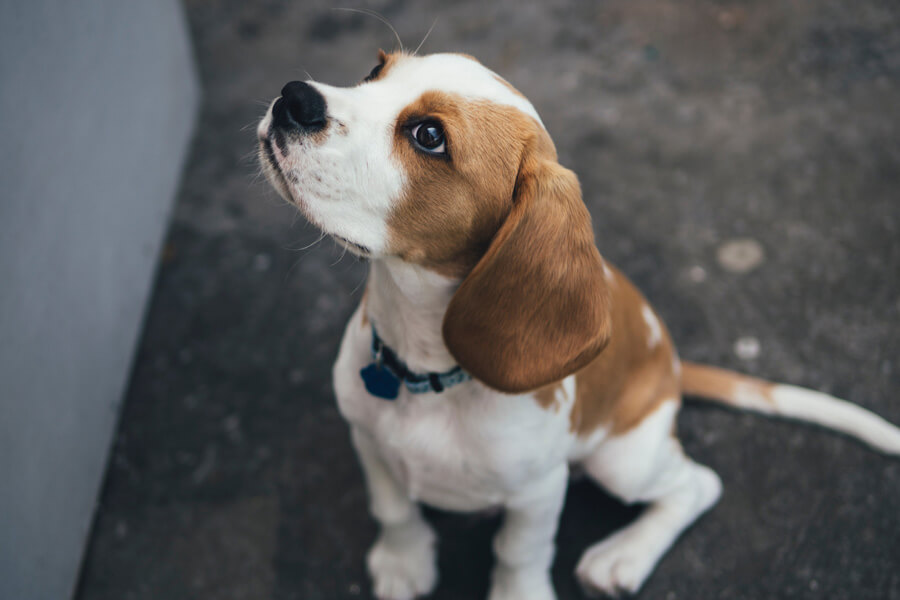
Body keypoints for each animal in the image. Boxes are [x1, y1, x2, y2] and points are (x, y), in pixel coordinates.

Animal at [255, 52, 900, 600]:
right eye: (375, 70)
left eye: (429, 137)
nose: (294, 97)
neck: (425, 369)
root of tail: (672, 365)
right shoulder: (368, 437)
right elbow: (394, 509)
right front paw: (403, 562)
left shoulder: (540, 491)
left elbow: (519, 553)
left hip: (624, 461)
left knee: (698, 484)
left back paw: (624, 555)